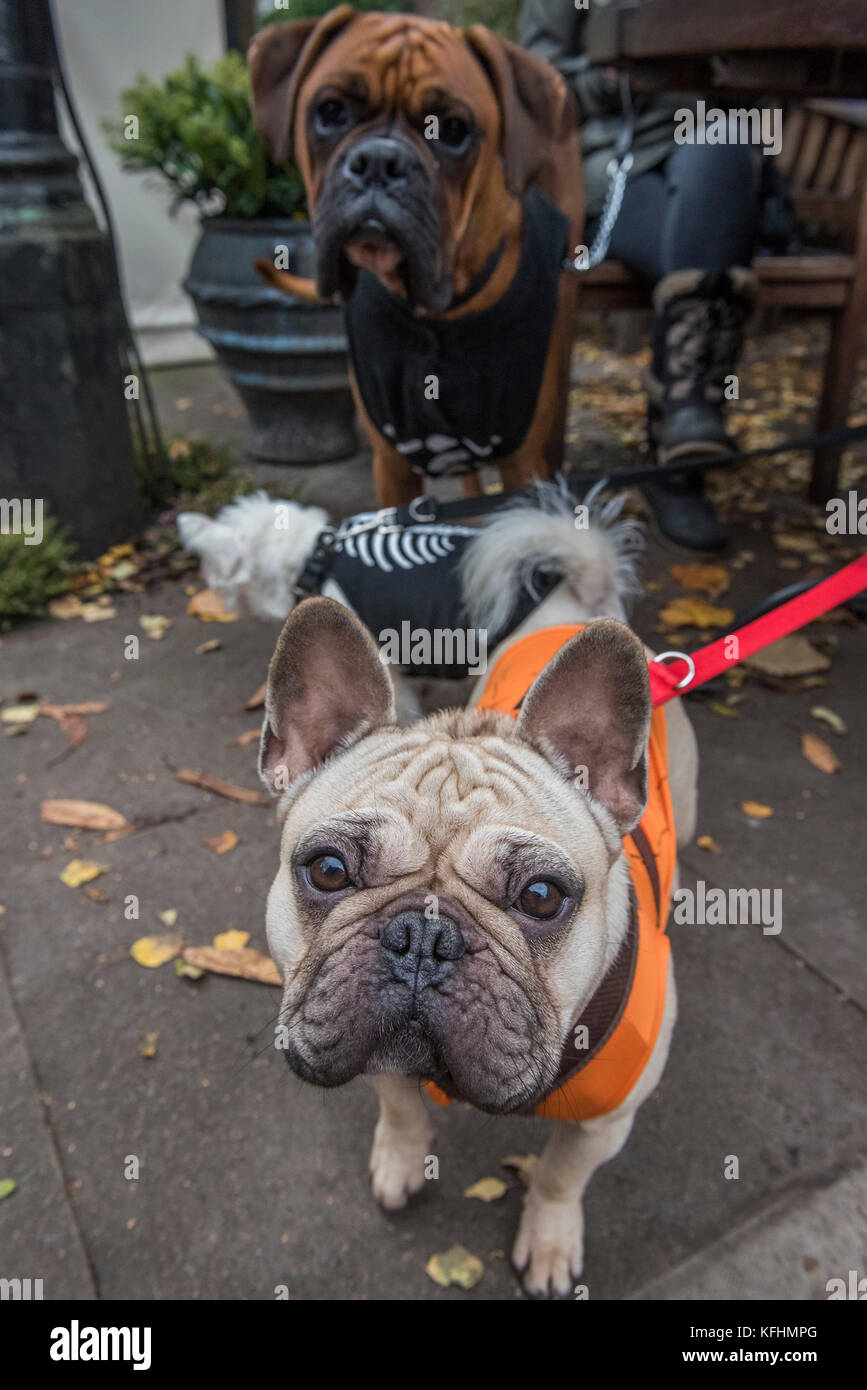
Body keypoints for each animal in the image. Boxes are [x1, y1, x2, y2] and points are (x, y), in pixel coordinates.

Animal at [248, 6, 583, 505]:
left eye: (454, 130)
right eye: (331, 111)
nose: (378, 161)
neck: (438, 315)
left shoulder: (522, 463)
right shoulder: (392, 465)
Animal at [257, 497, 697, 1289]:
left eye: (543, 896)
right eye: (328, 871)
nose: (422, 939)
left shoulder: (602, 1125)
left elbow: (558, 1177)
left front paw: (549, 1241)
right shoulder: (367, 1048)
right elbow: (402, 1111)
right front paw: (399, 1162)